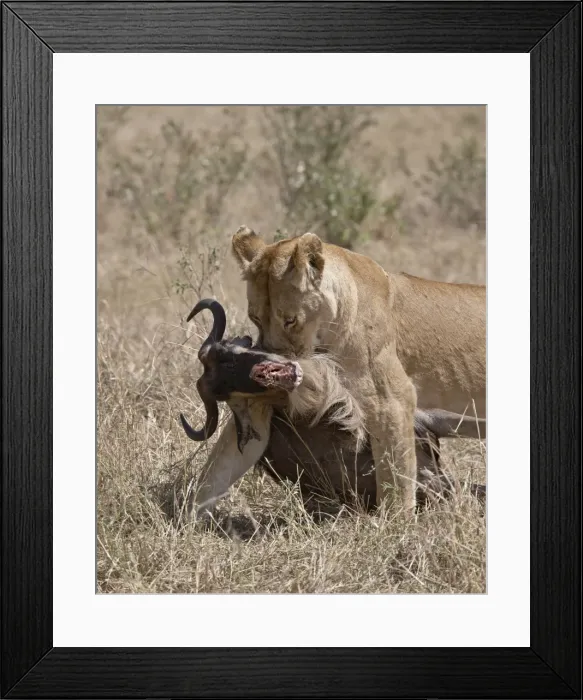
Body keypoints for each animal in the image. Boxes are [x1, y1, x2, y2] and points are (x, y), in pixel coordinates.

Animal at [230, 226, 486, 512]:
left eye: (290, 320)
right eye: (254, 318)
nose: (270, 362)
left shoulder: (393, 400)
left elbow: (395, 472)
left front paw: (396, 520)